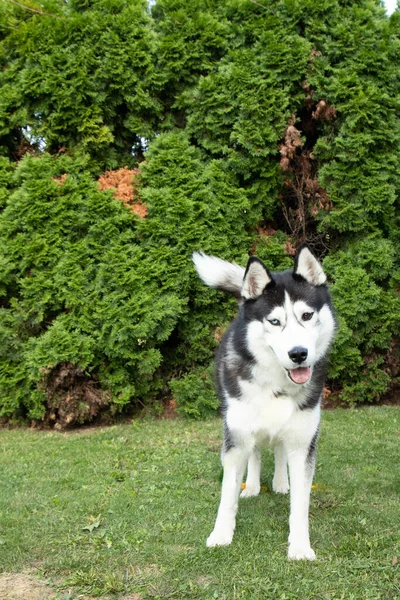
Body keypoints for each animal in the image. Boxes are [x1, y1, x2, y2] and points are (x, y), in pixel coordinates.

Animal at [192, 245, 336, 564]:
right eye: (274, 321)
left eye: (307, 315)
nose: (298, 354)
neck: (276, 384)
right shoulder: (235, 439)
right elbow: (227, 495)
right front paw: (221, 535)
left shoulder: (302, 443)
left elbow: (300, 504)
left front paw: (300, 546)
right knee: (256, 452)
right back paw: (254, 486)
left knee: (279, 450)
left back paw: (281, 483)